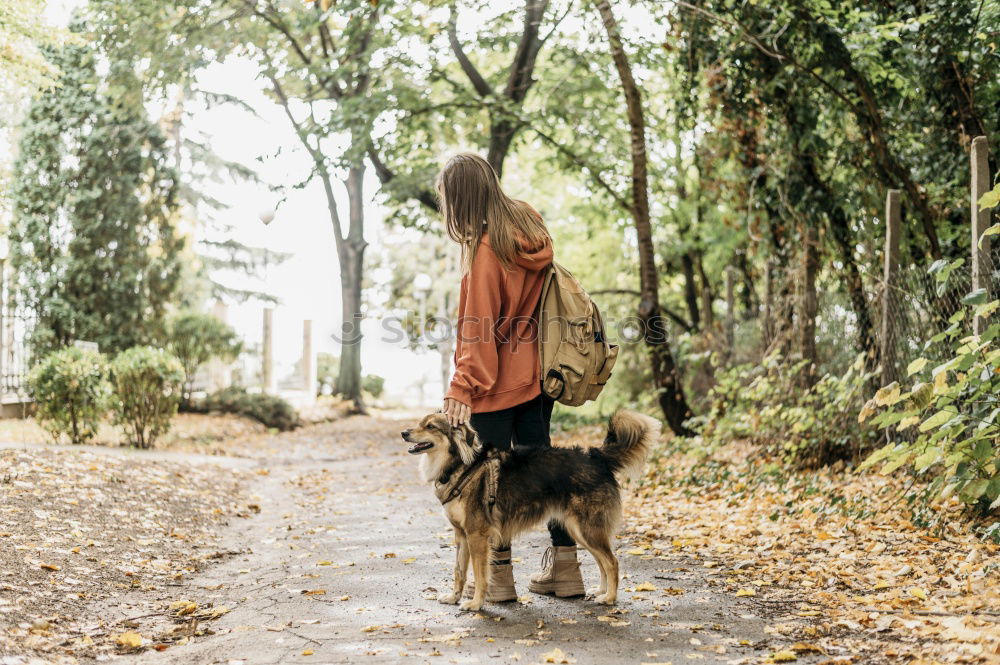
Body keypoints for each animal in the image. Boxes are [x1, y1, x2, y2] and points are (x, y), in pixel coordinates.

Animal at [402, 410, 660, 612]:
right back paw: (601, 591)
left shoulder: (477, 535)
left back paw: (610, 598)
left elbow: (479, 573)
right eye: (420, 422)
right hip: (580, 531)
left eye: (430, 426)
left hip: (586, 529)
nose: (404, 433)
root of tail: (596, 457)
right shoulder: (461, 535)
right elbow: (459, 571)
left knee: (612, 562)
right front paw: (453, 597)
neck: (460, 467)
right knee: (602, 561)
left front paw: (476, 603)